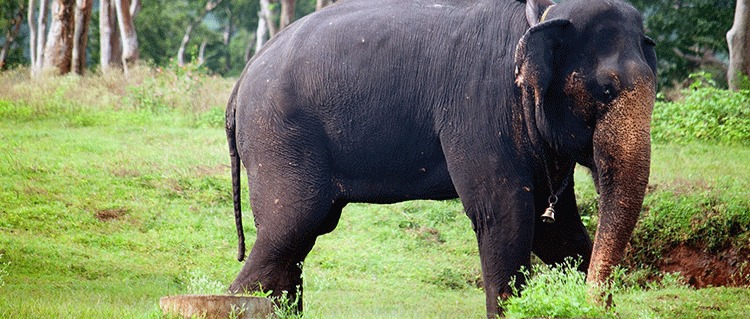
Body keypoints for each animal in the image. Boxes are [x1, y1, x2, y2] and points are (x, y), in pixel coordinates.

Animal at [225, 0, 656, 316]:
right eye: (605, 90)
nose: (592, 303)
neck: (541, 14)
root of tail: (242, 79)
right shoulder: (479, 107)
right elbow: (505, 215)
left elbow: (557, 230)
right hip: (279, 136)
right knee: (291, 228)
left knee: (299, 239)